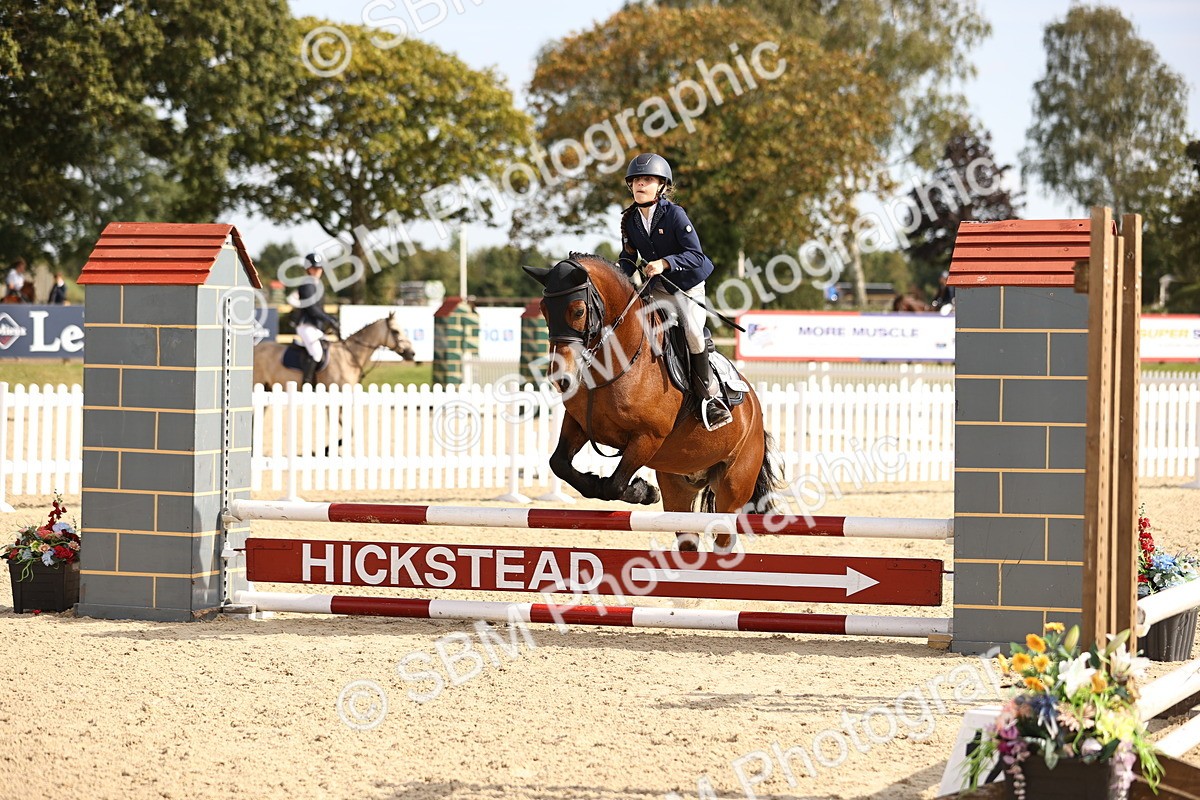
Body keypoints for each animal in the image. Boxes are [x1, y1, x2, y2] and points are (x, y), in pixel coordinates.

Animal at [524, 254, 783, 552]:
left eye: (578, 311)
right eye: (544, 309)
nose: (561, 377)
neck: (614, 362)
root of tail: (755, 410)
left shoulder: (648, 437)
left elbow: (614, 485)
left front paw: (642, 491)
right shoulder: (578, 423)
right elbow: (559, 464)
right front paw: (595, 482)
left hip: (733, 487)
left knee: (724, 535)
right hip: (678, 486)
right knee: (688, 537)